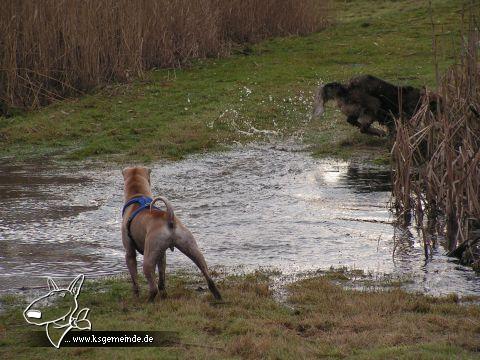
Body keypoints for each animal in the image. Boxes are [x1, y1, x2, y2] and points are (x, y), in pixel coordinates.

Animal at [122, 166, 223, 300]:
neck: (137, 196)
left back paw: (148, 301)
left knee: (153, 288)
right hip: (192, 249)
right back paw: (218, 296)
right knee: (208, 276)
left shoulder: (130, 254)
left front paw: (136, 296)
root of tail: (168, 217)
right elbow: (162, 277)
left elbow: (135, 281)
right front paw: (164, 295)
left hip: (148, 260)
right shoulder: (161, 254)